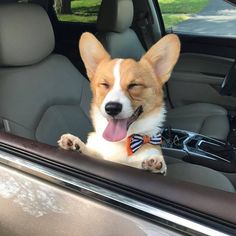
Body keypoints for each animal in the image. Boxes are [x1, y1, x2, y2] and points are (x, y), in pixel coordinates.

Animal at [58, 32, 180, 173]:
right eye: (104, 84)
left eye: (134, 85)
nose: (112, 108)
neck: (121, 142)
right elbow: (92, 153)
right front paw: (76, 144)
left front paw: (154, 162)